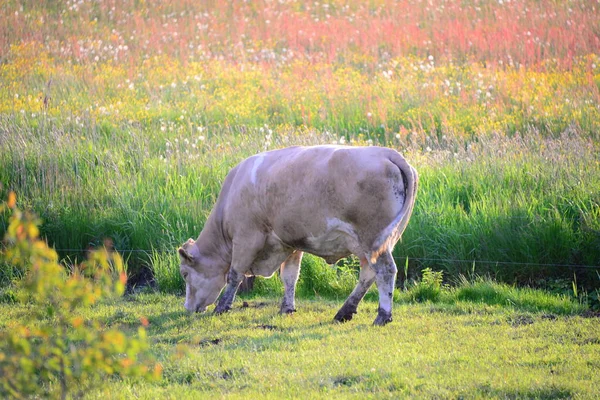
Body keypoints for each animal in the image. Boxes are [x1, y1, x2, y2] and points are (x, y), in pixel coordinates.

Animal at [178, 145, 418, 326]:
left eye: (185, 274)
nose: (188, 308)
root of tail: (386, 152)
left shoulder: (246, 238)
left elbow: (234, 275)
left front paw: (221, 307)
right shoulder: (289, 243)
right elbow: (289, 276)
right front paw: (287, 308)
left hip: (372, 239)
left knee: (385, 271)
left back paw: (382, 316)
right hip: (374, 243)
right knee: (369, 274)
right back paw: (344, 312)